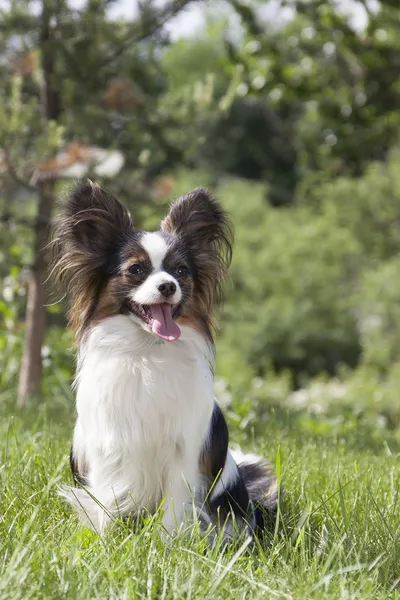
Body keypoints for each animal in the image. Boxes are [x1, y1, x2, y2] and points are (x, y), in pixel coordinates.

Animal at [50, 182, 278, 540]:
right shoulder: (107, 450)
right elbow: (107, 503)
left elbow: (174, 507)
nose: (168, 285)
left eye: (181, 271)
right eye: (136, 270)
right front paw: (106, 542)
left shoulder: (183, 452)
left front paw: (167, 544)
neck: (147, 352)